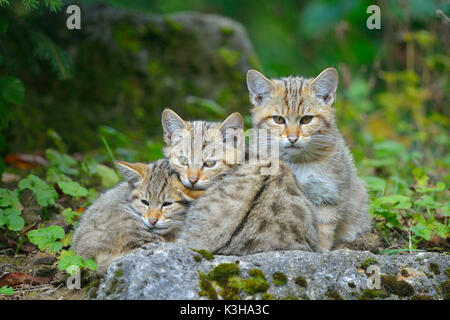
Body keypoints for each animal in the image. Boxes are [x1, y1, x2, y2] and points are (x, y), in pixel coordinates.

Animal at [248, 67, 370, 251]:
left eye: (306, 119)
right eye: (278, 119)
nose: (292, 138)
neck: (297, 163)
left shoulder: (328, 195)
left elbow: (323, 228)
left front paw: (319, 250)